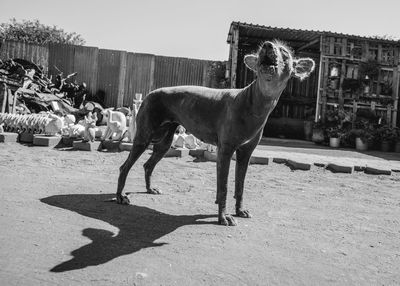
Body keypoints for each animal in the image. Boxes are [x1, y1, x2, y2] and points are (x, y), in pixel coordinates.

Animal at [115, 42, 316, 226]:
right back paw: (120, 196)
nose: (267, 45)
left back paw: (150, 189)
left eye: (285, 52)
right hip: (143, 138)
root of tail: (151, 93)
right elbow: (224, 187)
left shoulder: (245, 154)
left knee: (148, 165)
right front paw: (223, 216)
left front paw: (239, 210)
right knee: (124, 167)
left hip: (164, 142)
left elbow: (240, 185)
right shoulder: (225, 151)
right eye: (261, 50)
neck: (255, 103)